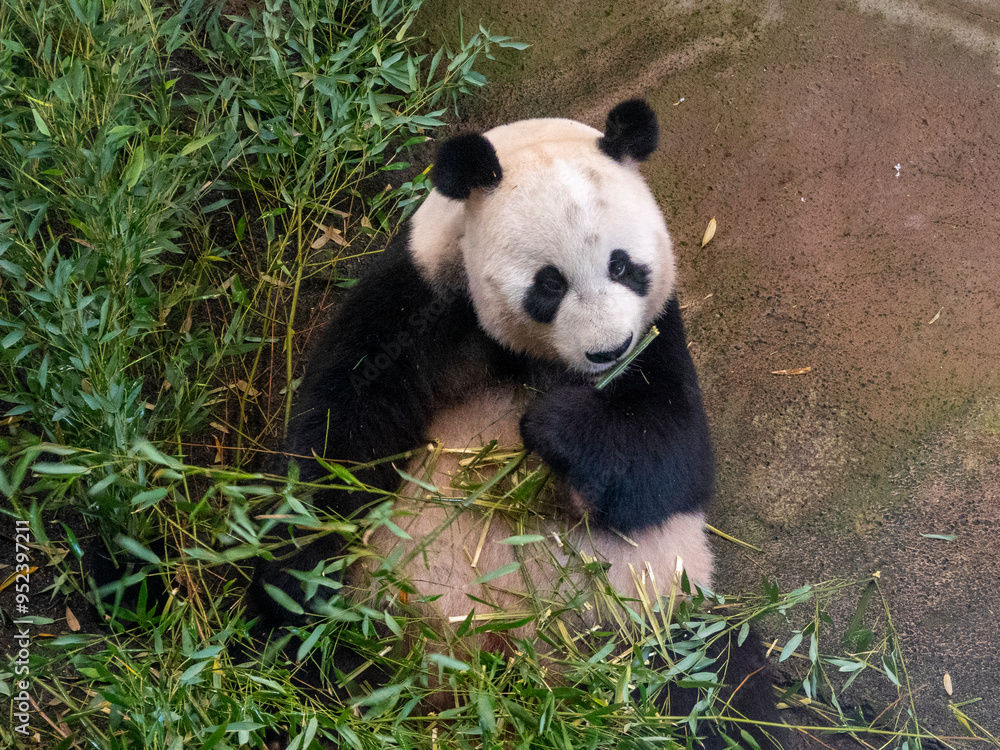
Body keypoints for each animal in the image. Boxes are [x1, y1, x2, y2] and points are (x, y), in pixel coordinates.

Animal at [251, 100, 786, 748]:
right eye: (549, 283)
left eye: (623, 266)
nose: (609, 351)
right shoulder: (422, 295)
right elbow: (343, 429)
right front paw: (293, 577)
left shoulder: (658, 334)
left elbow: (674, 459)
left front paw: (556, 428)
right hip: (383, 615)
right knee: (327, 672)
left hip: (649, 622)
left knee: (719, 683)